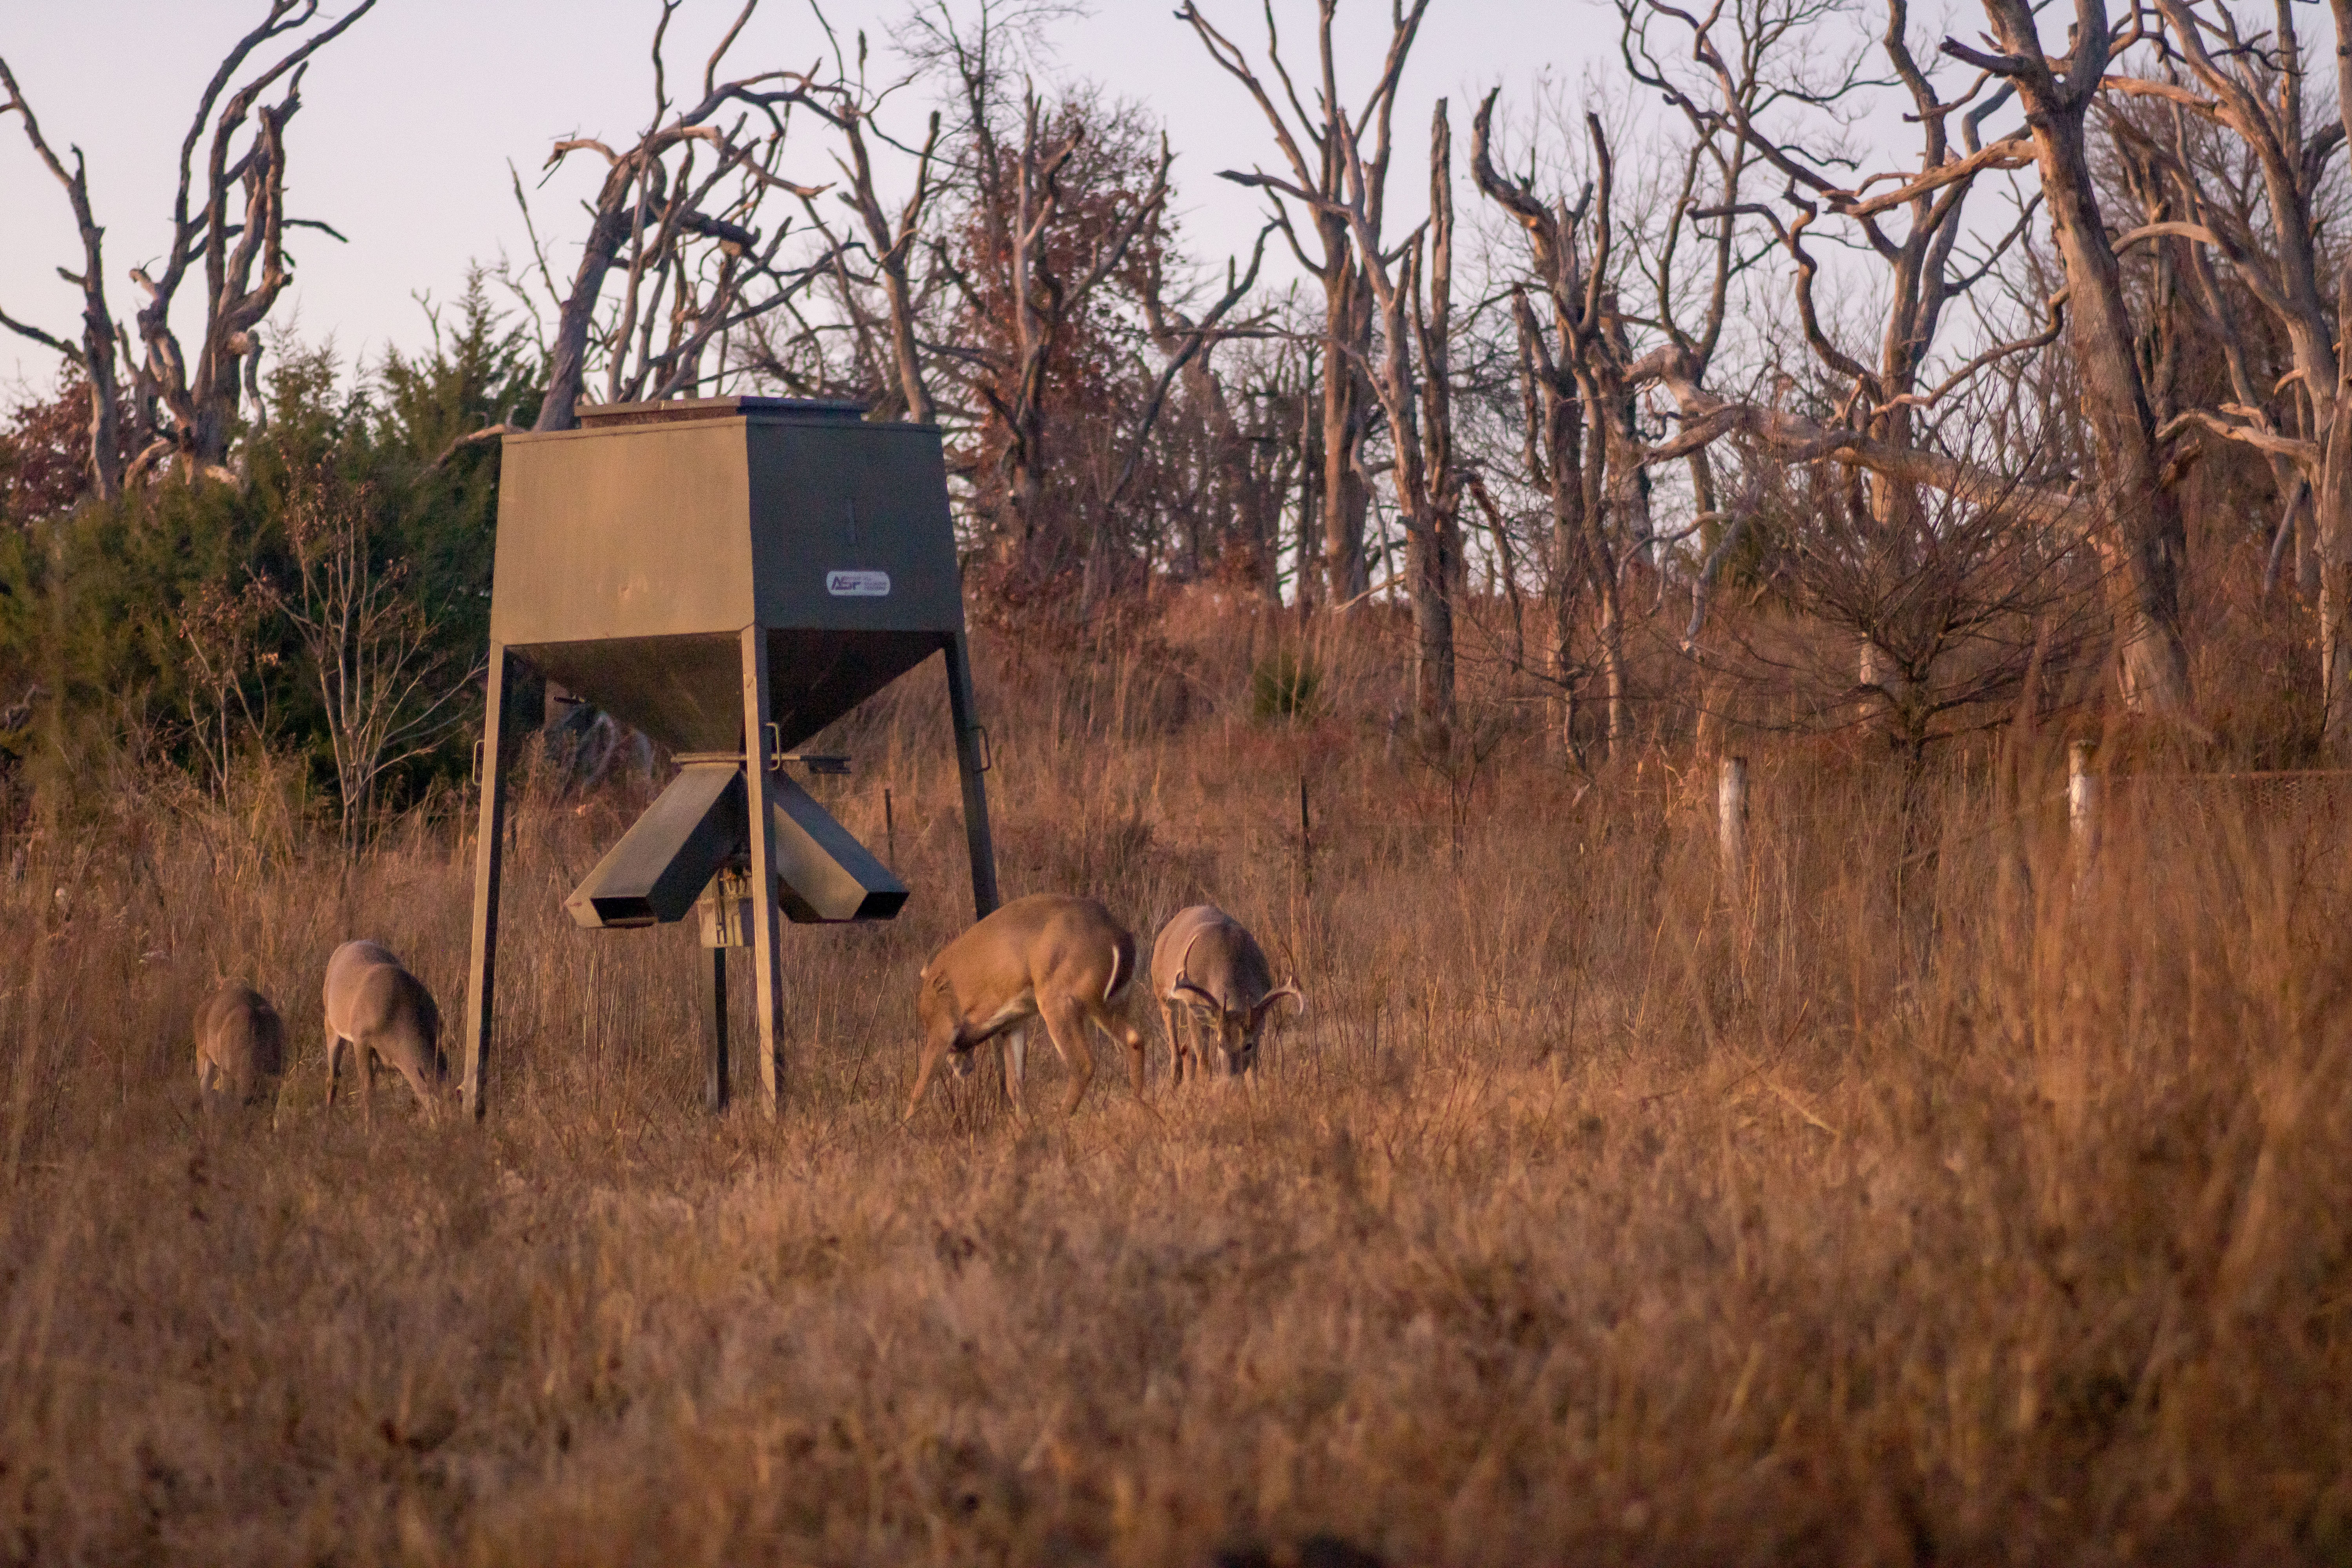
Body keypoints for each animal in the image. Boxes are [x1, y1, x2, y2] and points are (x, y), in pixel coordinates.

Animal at [322, 940, 445, 1123]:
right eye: (438, 1104)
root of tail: (345, 946)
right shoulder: (361, 1038)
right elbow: (368, 1089)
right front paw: (371, 1127)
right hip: (330, 1023)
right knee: (333, 1078)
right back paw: (327, 1123)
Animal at [904, 893, 1149, 1121]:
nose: (964, 1069)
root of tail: (1120, 939)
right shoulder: (1013, 1022)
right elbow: (1015, 1085)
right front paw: (1024, 1126)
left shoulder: (942, 1026)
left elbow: (920, 1087)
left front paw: (905, 1128)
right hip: (1111, 1002)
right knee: (1134, 1039)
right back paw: (1136, 1109)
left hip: (1060, 999)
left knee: (1083, 1063)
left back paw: (1060, 1119)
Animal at [1151, 905, 1304, 1083]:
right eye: (1220, 1044)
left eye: (1247, 1045)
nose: (1231, 1079)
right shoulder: (1193, 1004)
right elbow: (1204, 1065)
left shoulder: (1259, 1015)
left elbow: (1253, 1072)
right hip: (1162, 992)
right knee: (1176, 1050)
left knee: (1187, 1050)